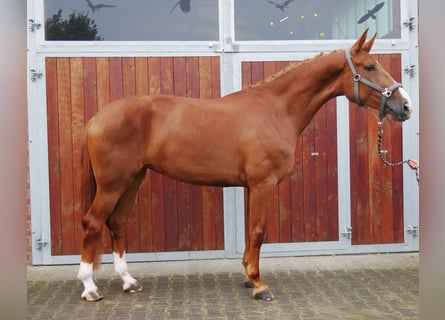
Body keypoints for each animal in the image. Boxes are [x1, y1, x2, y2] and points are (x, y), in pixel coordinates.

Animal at [77, 28, 412, 302]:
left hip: (133, 178)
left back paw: (128, 281)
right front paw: (259, 285)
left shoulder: (253, 186)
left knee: (116, 223)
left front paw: (249, 276)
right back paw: (89, 287)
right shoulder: (263, 184)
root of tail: (96, 118)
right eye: (370, 67)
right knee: (93, 223)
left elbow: (252, 232)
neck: (276, 110)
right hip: (113, 183)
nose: (405, 106)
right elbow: (259, 232)